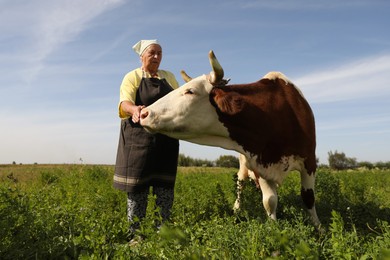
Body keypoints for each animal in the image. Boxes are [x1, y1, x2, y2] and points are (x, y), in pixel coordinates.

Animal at [139, 50, 320, 228]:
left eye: (190, 91)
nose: (144, 113)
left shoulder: (309, 162)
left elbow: (308, 198)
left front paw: (318, 227)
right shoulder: (259, 165)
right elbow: (270, 201)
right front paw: (273, 227)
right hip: (243, 164)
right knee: (240, 184)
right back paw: (237, 209)